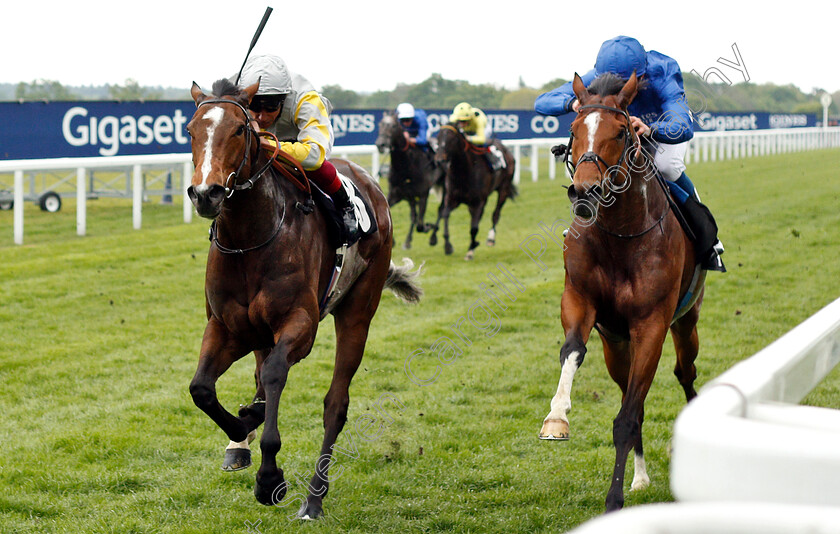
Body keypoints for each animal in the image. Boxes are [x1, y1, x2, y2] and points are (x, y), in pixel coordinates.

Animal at [184, 78, 420, 520]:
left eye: (239, 130)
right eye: (191, 130)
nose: (206, 193)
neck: (251, 239)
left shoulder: (300, 325)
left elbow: (276, 375)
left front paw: (269, 478)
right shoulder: (226, 327)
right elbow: (202, 388)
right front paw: (242, 428)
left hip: (357, 312)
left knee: (335, 404)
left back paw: (314, 497)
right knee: (257, 378)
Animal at [372, 113, 440, 251]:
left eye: (393, 125)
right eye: (380, 124)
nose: (381, 144)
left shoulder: (423, 194)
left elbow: (420, 225)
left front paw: (427, 227)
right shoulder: (397, 194)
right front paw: (393, 240)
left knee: (442, 210)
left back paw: (434, 237)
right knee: (414, 216)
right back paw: (408, 241)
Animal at [430, 124, 516, 262]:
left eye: (451, 139)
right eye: (438, 137)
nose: (439, 160)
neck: (464, 171)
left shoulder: (478, 202)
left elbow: (474, 228)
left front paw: (470, 251)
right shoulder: (452, 199)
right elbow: (445, 215)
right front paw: (447, 245)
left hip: (504, 188)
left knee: (495, 214)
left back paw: (490, 239)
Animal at [540, 73, 708, 512]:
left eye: (620, 131)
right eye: (574, 128)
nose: (584, 191)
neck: (618, 235)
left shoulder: (651, 325)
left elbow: (627, 418)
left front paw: (613, 501)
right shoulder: (580, 301)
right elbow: (572, 351)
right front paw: (556, 419)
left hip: (686, 322)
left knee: (685, 374)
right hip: (616, 346)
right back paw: (641, 477)